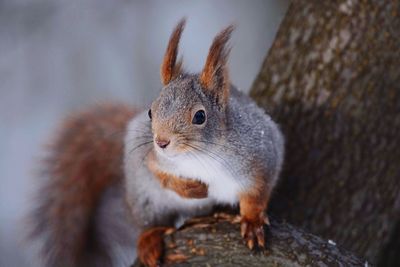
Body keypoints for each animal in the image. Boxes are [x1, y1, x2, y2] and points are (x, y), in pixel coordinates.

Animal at [28, 18, 284, 267]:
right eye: (150, 112)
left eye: (200, 116)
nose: (161, 142)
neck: (198, 157)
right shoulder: (154, 157)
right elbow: (158, 171)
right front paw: (190, 188)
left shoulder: (261, 154)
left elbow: (257, 192)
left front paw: (252, 221)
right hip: (144, 197)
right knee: (151, 222)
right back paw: (150, 238)